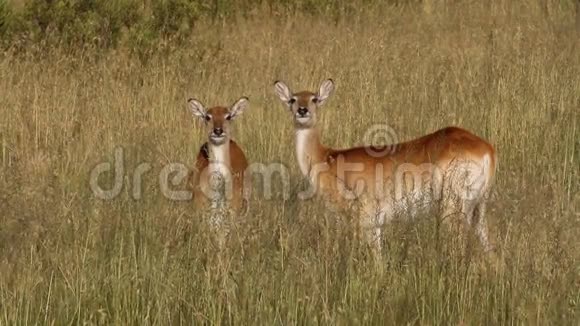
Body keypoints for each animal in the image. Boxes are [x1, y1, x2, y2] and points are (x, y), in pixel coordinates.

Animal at [274, 78, 496, 252]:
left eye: (315, 99)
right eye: (293, 99)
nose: (302, 111)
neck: (326, 157)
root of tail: (487, 149)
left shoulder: (361, 221)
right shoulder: (375, 226)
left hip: (453, 207)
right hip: (479, 208)